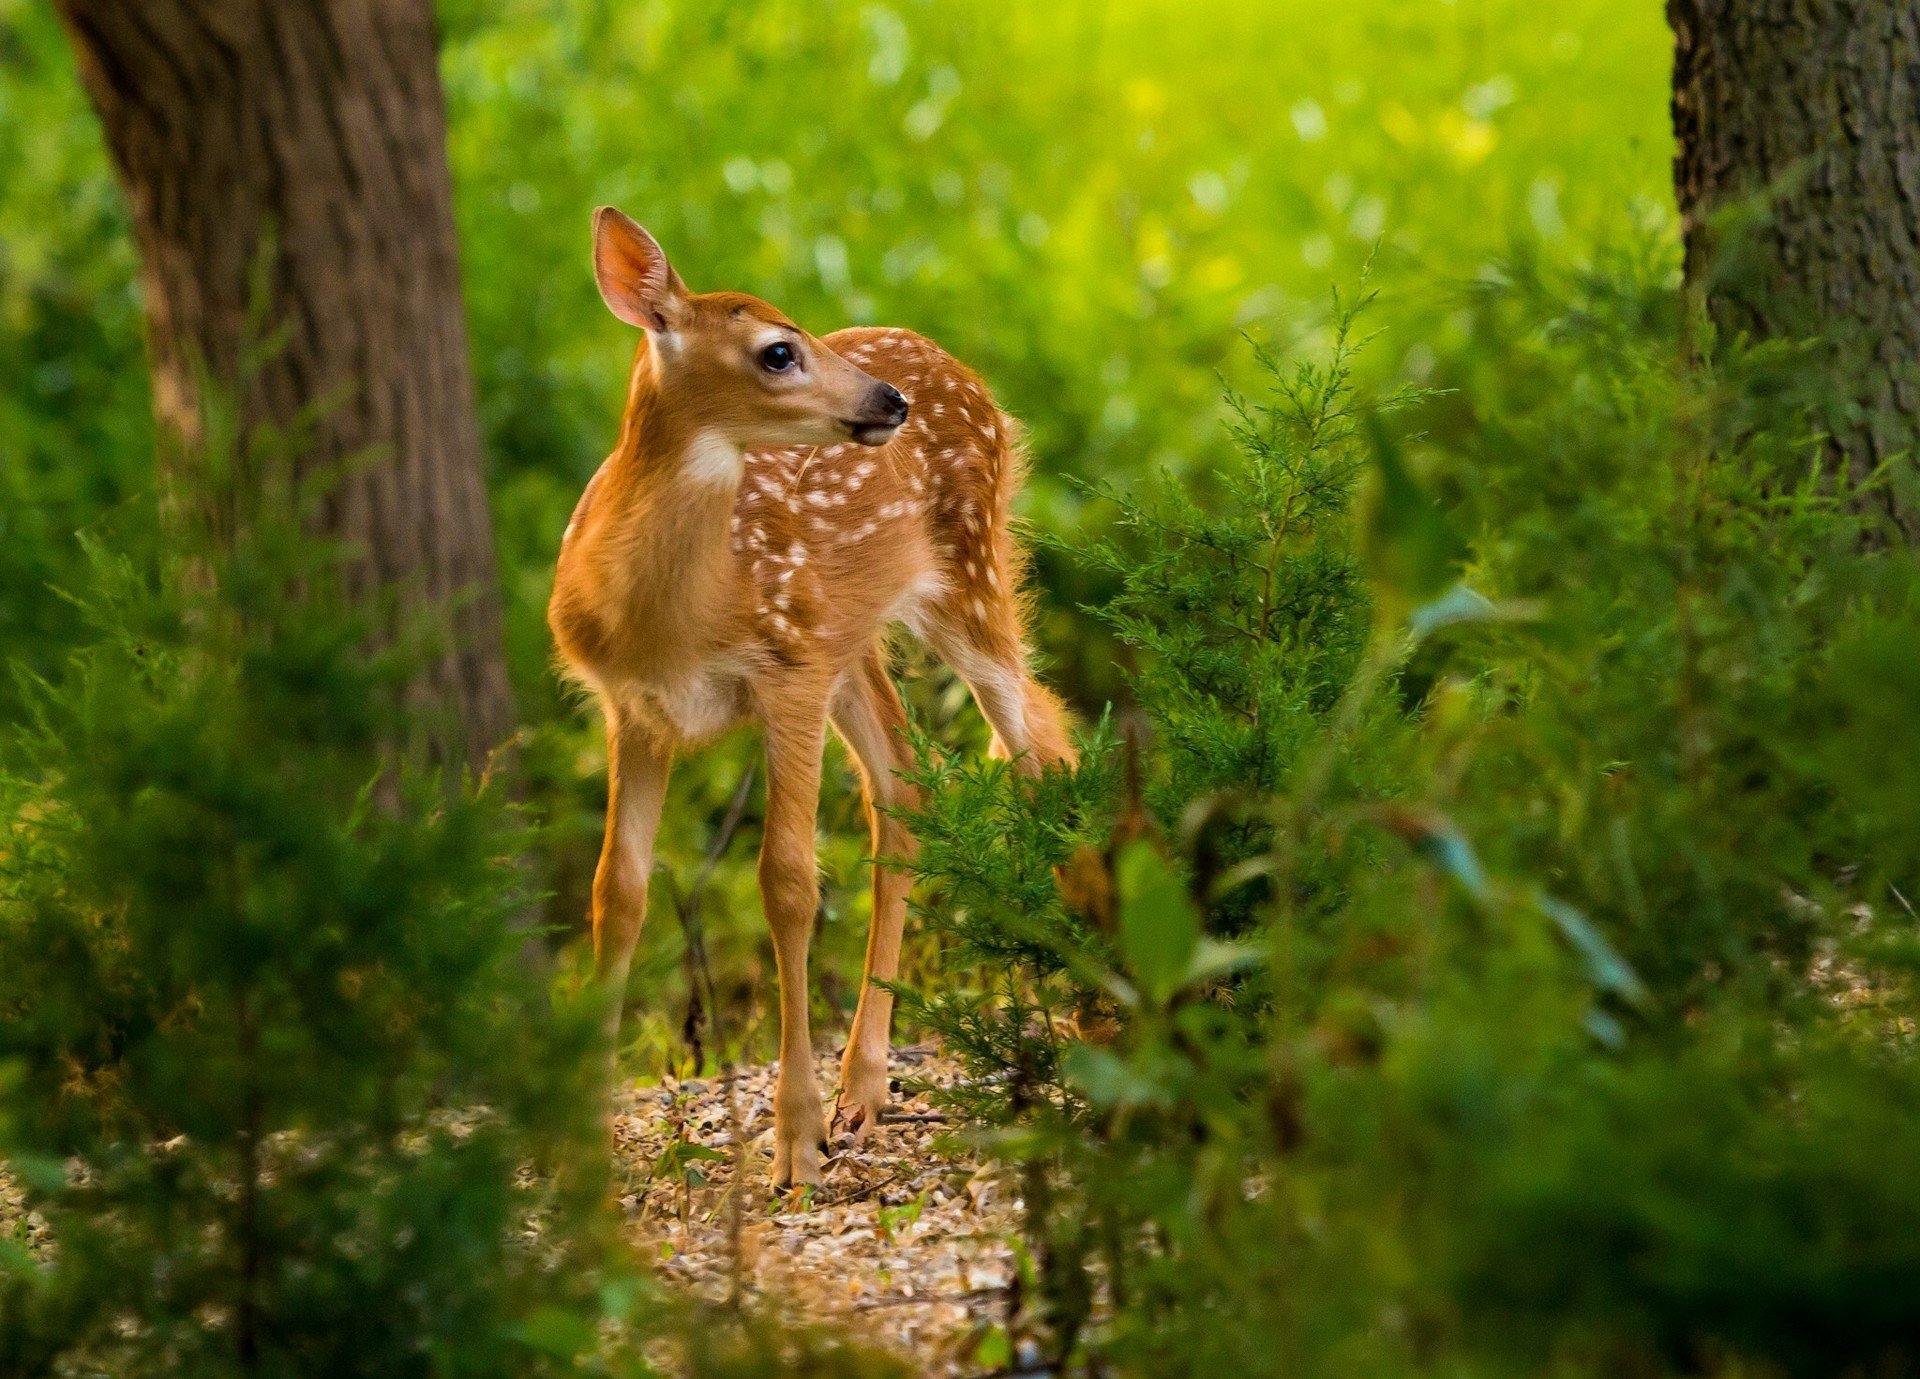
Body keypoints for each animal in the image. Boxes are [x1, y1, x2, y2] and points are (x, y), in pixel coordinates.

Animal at [549, 208, 1075, 1190]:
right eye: (778, 351)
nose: (889, 402)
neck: (674, 614)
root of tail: (958, 367)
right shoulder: (633, 709)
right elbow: (617, 890)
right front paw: (582, 1147)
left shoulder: (785, 674)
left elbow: (787, 880)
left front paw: (794, 1142)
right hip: (852, 639)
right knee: (908, 784)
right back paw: (863, 1088)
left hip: (970, 574)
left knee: (1039, 744)